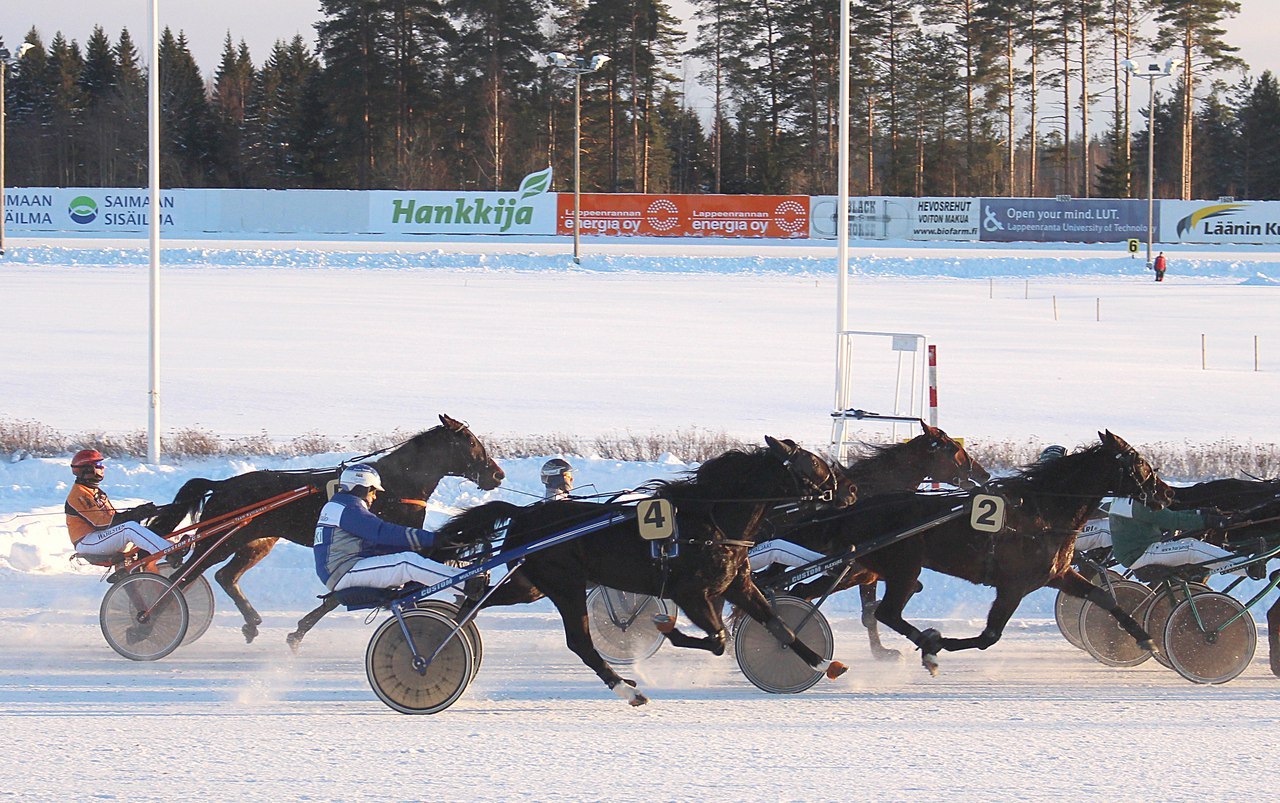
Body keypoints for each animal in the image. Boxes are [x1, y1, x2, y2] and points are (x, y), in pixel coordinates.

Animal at [149, 417, 504, 642]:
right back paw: (147, 622)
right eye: (472, 443)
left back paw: (251, 622)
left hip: (258, 541)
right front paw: (298, 632)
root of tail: (222, 485)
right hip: (224, 539)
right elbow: (342, 594)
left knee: (225, 576)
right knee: (183, 578)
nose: (497, 474)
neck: (395, 484)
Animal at [442, 435, 860, 706]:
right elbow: (718, 639)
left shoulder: (737, 584)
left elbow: (779, 625)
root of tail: (524, 514)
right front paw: (665, 628)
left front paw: (824, 662)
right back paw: (627, 689)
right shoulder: (691, 594)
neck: (712, 521)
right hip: (566, 587)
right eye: (815, 463)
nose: (852, 490)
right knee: (580, 643)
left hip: (532, 585)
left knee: (475, 602)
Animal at [814, 430, 1172, 676]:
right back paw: (924, 644)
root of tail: (857, 509)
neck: (1043, 511)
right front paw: (937, 644)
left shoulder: (1057, 575)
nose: (1167, 493)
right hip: (903, 567)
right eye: (1140, 464)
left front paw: (1145, 638)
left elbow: (1105, 598)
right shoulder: (1013, 585)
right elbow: (989, 636)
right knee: (885, 612)